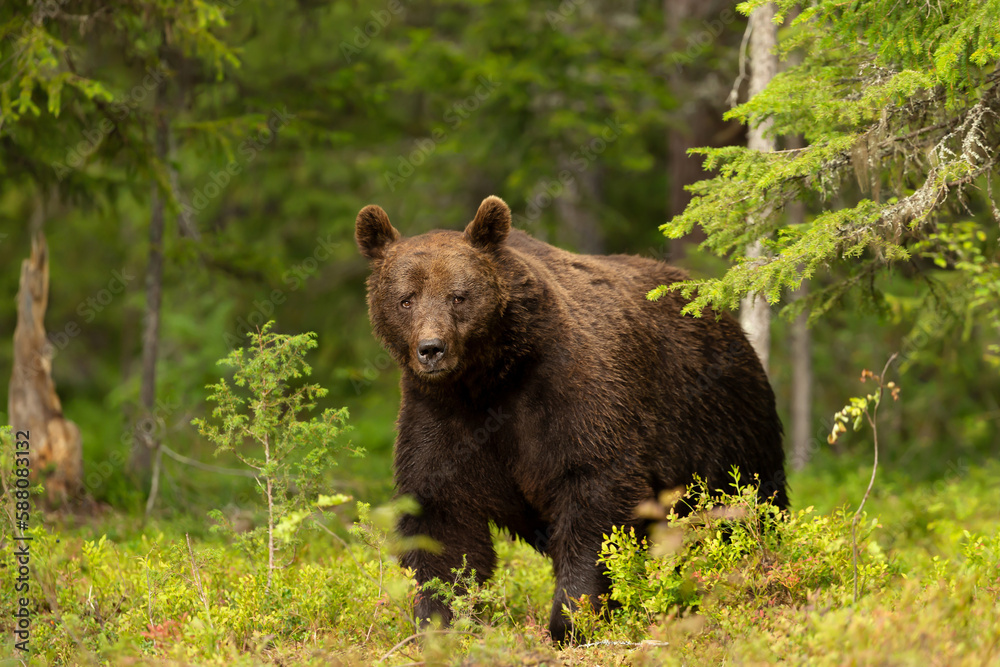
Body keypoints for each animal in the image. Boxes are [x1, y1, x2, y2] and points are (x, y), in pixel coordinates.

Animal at [356, 196, 784, 644]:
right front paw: (440, 620)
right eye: (406, 299)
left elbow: (594, 494)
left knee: (745, 501)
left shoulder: (569, 393)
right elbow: (442, 516)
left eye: (458, 296)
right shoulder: (440, 413)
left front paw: (571, 618)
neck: (490, 378)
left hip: (720, 424)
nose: (431, 349)